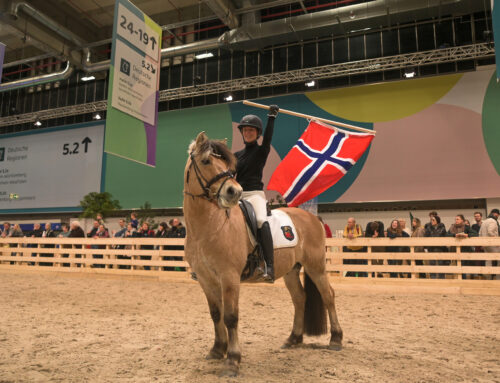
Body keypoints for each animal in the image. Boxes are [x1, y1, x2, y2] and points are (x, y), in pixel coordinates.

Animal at [185, 133, 344, 378]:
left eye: (227, 166)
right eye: (206, 161)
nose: (234, 192)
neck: (208, 225)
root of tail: (311, 217)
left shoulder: (229, 277)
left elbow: (230, 316)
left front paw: (232, 361)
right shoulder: (205, 279)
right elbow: (216, 314)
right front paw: (217, 350)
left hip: (316, 266)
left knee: (328, 295)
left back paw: (336, 339)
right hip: (291, 271)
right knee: (300, 298)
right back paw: (293, 339)